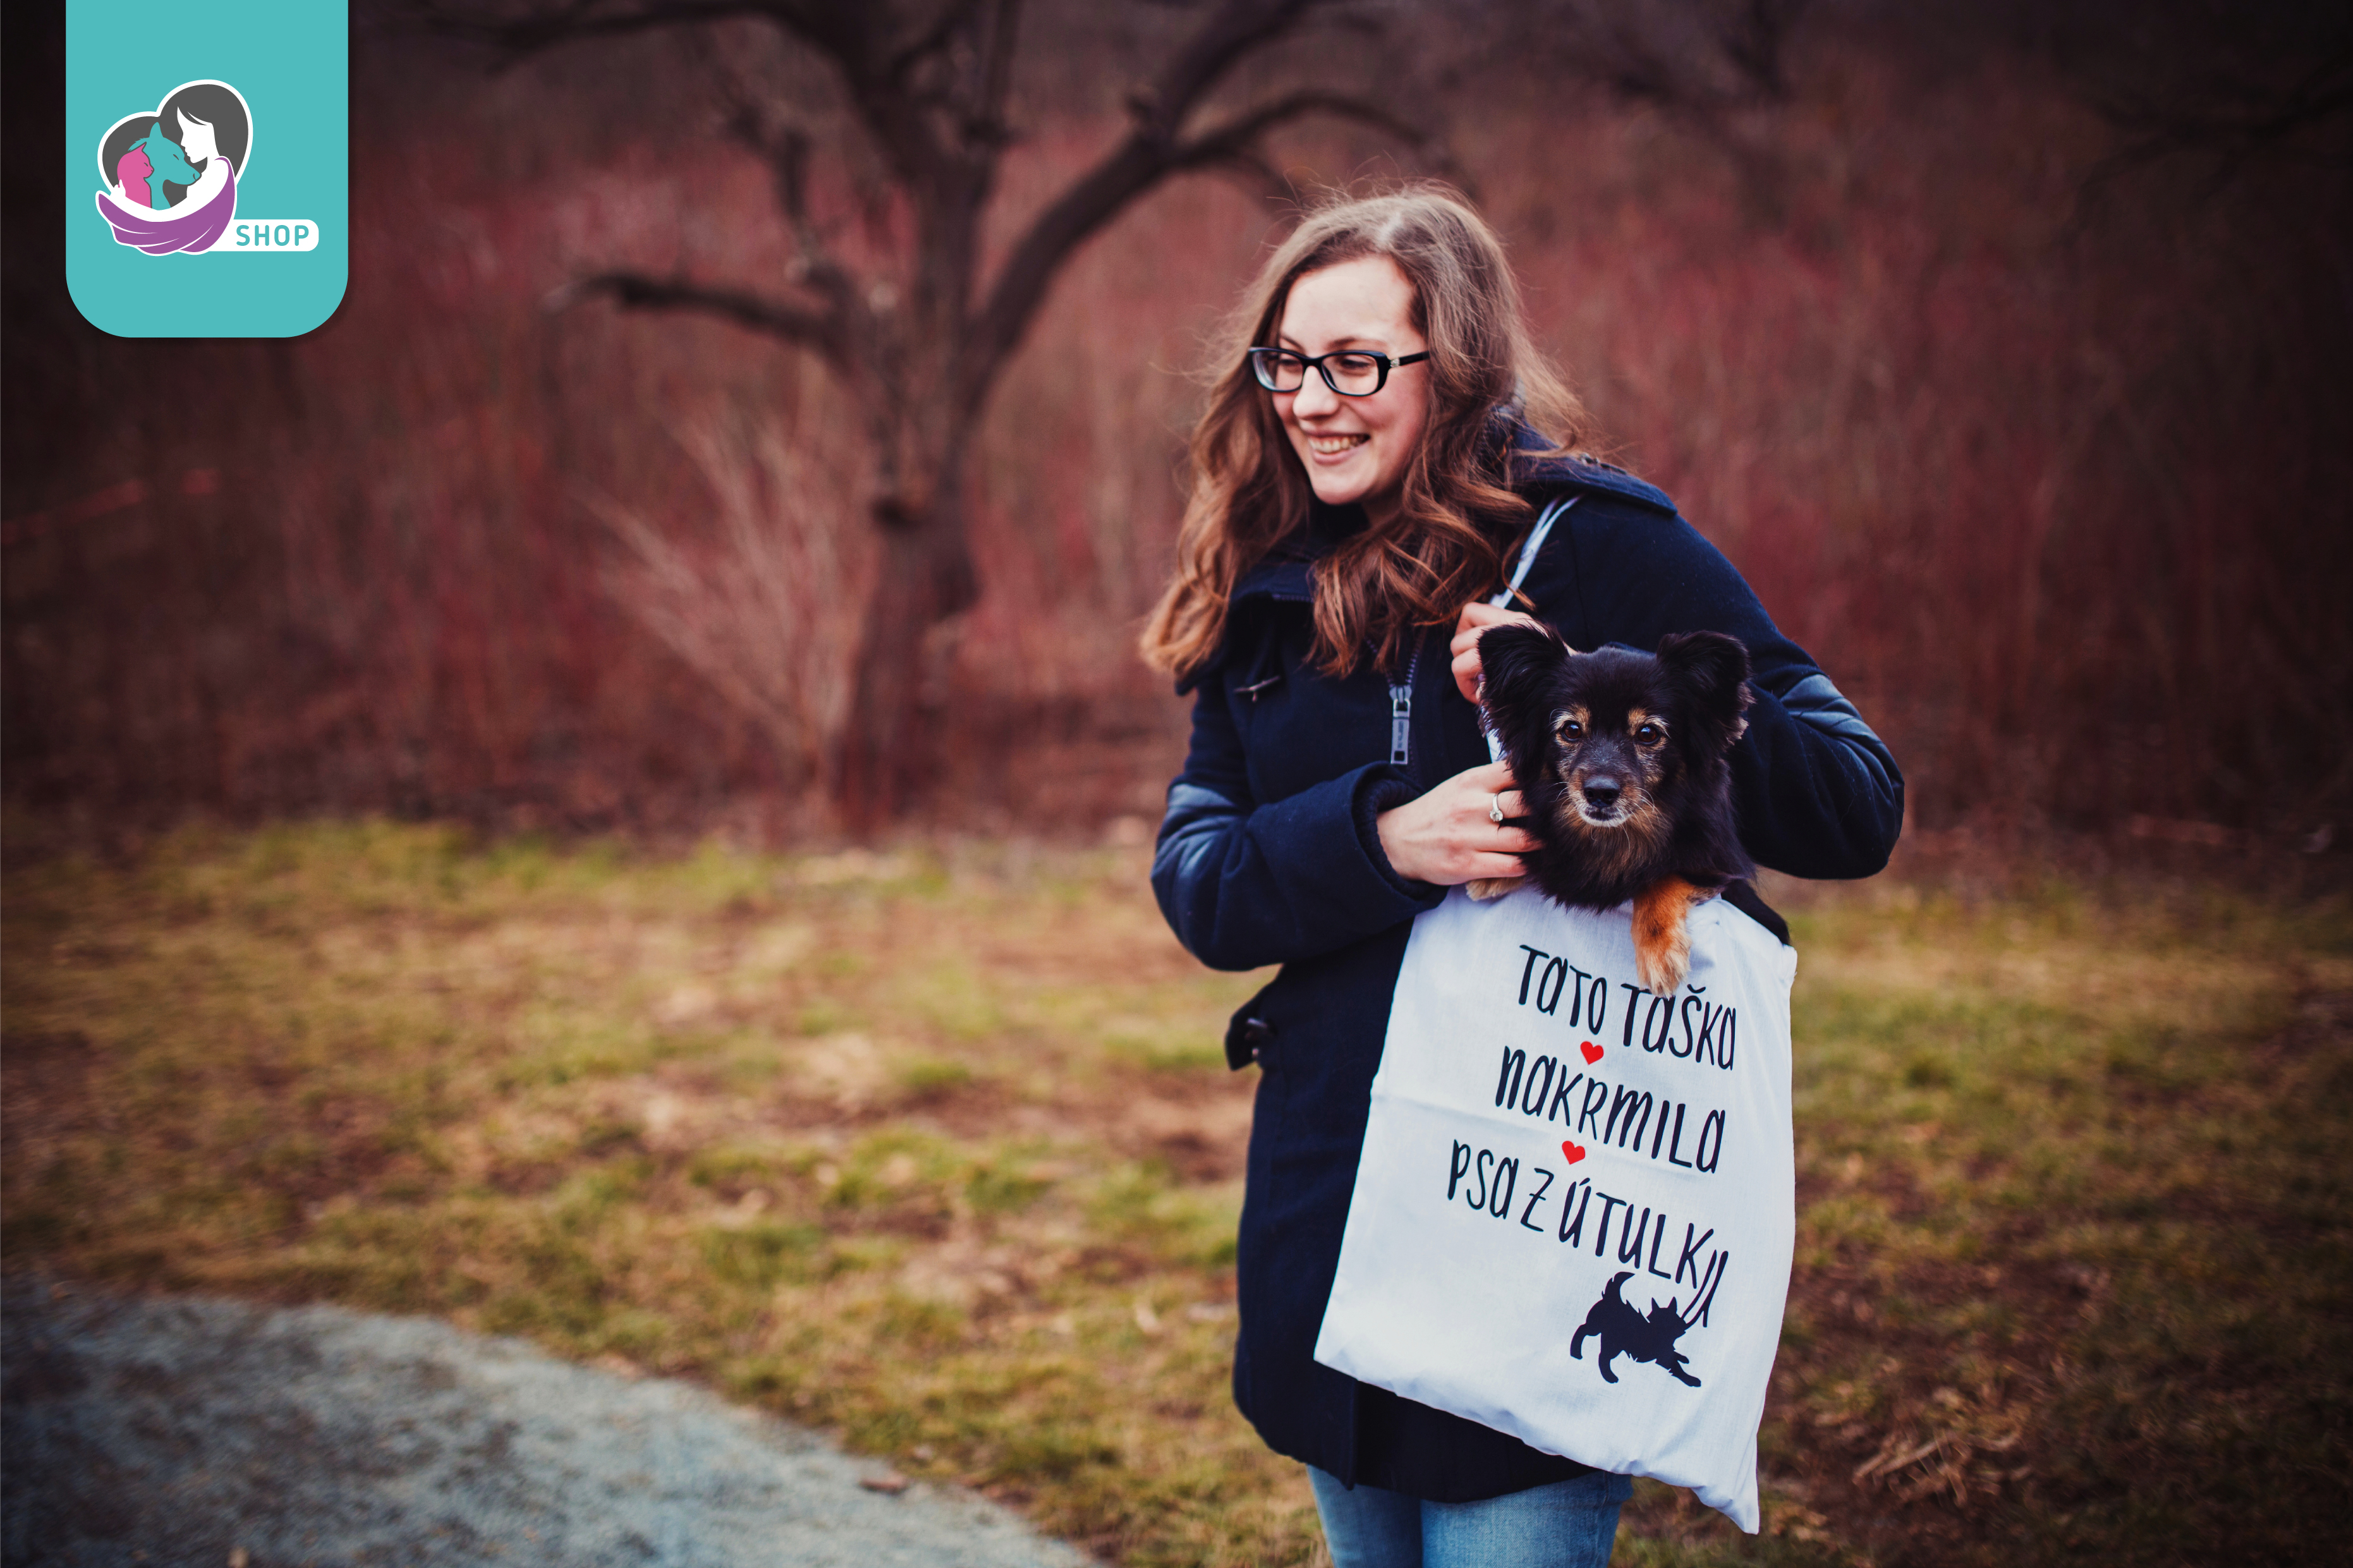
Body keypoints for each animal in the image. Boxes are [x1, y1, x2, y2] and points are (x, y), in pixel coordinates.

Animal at [1459, 621, 1760, 988]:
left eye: (1648, 733)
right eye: (1571, 730)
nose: (1600, 793)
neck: (1612, 837)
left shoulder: (1717, 862)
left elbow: (1663, 875)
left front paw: (1659, 950)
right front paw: (1493, 874)